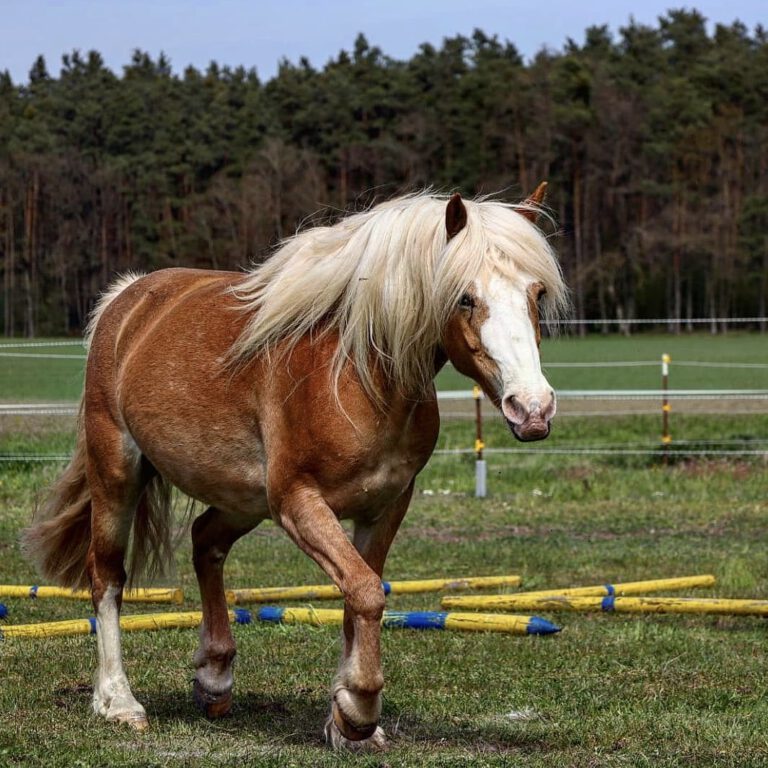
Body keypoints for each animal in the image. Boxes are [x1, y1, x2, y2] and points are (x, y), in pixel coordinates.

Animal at [24, 184, 568, 752]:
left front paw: (347, 721)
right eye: (465, 297)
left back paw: (214, 677)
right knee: (107, 577)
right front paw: (357, 710)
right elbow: (365, 592)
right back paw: (118, 702)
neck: (356, 375)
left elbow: (361, 593)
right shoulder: (299, 502)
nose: (532, 408)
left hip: (243, 498)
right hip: (118, 473)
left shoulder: (385, 506)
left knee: (205, 541)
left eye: (536, 294)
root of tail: (126, 299)